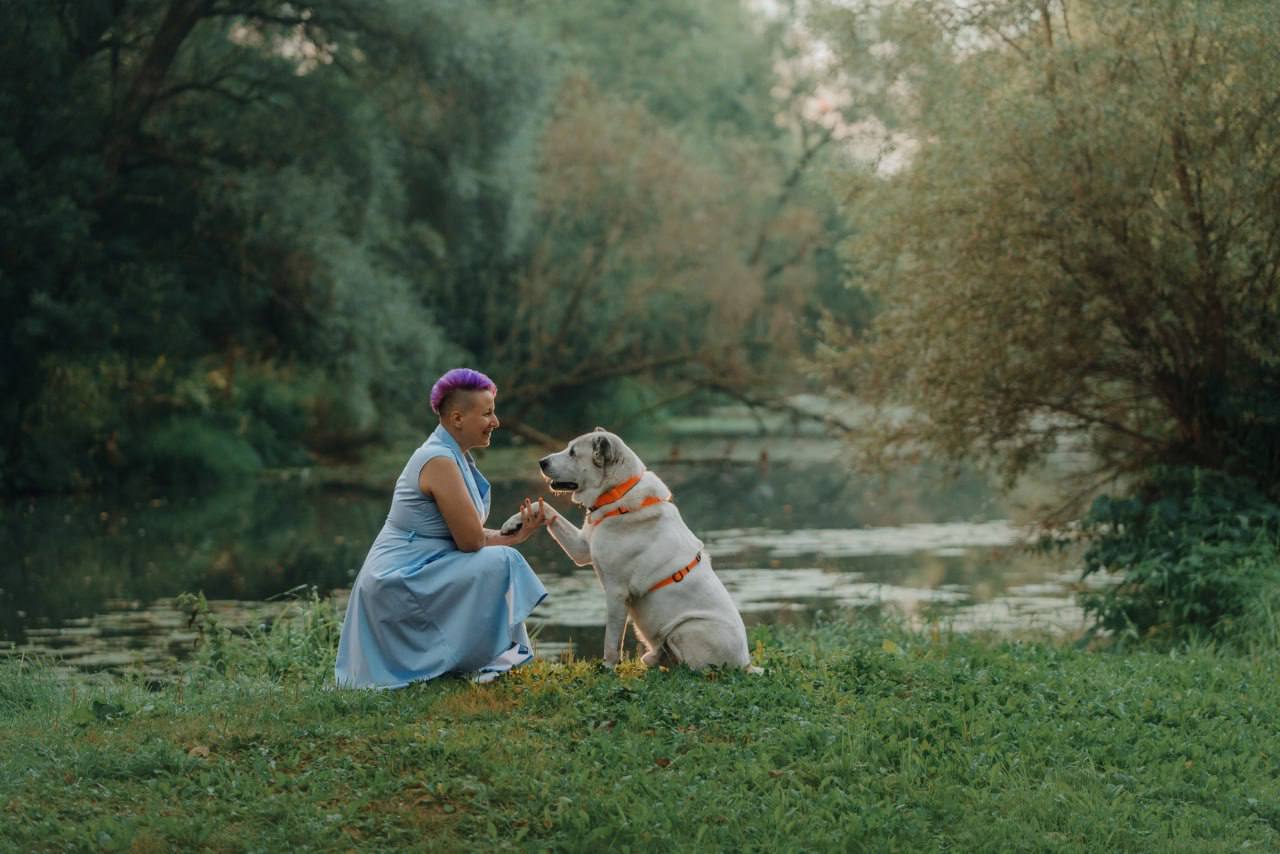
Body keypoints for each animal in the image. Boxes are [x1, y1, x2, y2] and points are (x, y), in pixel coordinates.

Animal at [504, 430, 747, 670]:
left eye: (573, 452)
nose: (541, 462)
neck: (617, 493)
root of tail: (745, 664)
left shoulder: (616, 592)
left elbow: (612, 638)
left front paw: (608, 667)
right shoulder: (582, 549)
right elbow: (546, 508)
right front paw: (514, 523)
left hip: (687, 629)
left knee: (691, 665)